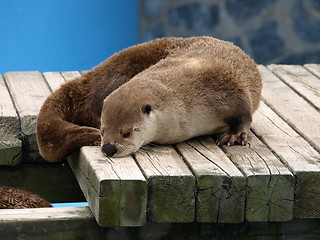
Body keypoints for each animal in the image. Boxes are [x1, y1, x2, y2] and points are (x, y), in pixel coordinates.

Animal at [37, 37, 262, 161]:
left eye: (127, 132)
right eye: (102, 131)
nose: (108, 148)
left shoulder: (228, 89)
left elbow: (244, 114)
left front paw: (234, 136)